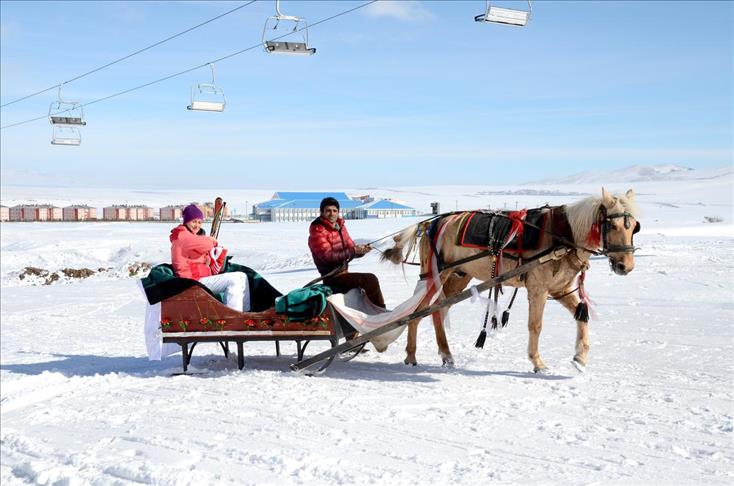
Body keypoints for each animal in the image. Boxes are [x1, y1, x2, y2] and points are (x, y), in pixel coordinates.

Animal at [381, 188, 640, 372]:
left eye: (634, 227)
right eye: (612, 225)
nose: (625, 266)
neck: (562, 234)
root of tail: (430, 223)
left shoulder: (560, 289)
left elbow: (581, 316)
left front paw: (580, 357)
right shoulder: (538, 289)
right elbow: (535, 325)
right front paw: (538, 363)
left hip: (458, 276)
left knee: (435, 310)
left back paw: (442, 355)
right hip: (437, 273)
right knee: (420, 310)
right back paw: (413, 354)